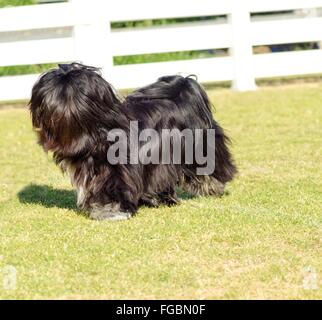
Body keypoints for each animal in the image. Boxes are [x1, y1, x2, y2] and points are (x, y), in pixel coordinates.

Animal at [29, 62, 236, 220]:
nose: (44, 107)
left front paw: (110, 211)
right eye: (46, 90)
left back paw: (211, 187)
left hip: (199, 148)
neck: (94, 135)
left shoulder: (117, 172)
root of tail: (184, 89)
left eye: (69, 91)